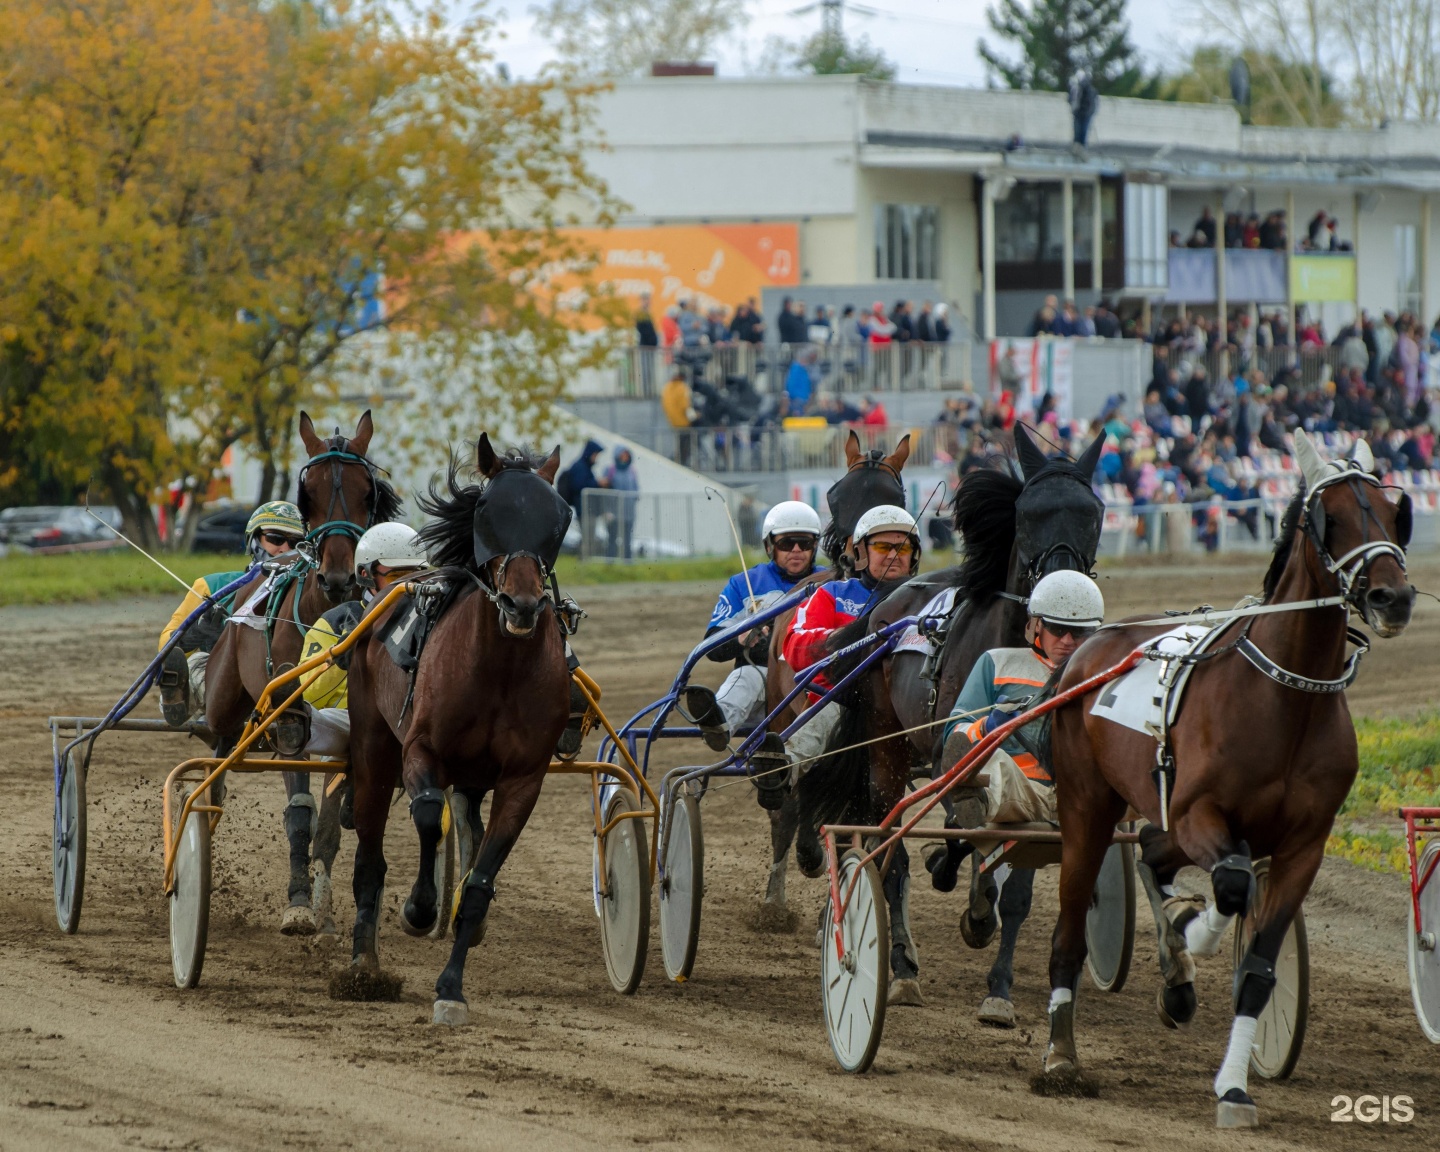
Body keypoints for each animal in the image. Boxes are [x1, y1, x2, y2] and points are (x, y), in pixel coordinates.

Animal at [205, 411, 403, 933]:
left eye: (367, 491)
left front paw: (324, 903)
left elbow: (333, 822)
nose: (337, 576)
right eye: (306, 492)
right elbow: (299, 811)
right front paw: (298, 902)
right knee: (220, 742)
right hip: (224, 700)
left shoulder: (352, 726)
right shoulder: (289, 718)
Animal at [342, 434, 573, 1025]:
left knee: (466, 818)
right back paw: (363, 963)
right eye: (489, 510)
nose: (522, 604)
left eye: (559, 516)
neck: (502, 670)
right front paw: (419, 909)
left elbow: (479, 885)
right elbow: (426, 815)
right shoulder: (420, 749)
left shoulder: (523, 780)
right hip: (373, 745)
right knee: (370, 855)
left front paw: (450, 988)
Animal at [794, 420, 1105, 1008]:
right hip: (886, 748)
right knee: (887, 850)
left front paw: (1000, 986)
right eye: (1028, 513)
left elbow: (1017, 883)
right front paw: (960, 889)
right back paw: (900, 962)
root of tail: (887, 603)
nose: (1060, 587)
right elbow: (959, 829)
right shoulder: (950, 750)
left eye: (1094, 512)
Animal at [1042, 426, 1411, 1123]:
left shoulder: (1303, 846)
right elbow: (1234, 882)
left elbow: (1258, 967)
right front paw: (1191, 934)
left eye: (1391, 510)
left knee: (1152, 851)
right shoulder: (1200, 813)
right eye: (1331, 517)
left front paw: (1234, 1084)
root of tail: (1089, 650)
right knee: (1071, 931)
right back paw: (1060, 1057)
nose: (1393, 596)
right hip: (1086, 809)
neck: (1287, 699)